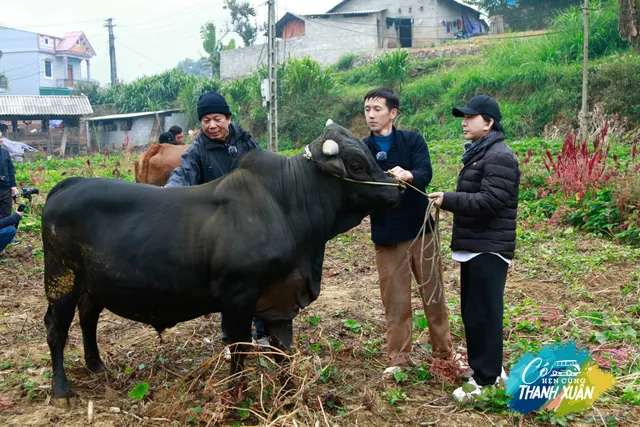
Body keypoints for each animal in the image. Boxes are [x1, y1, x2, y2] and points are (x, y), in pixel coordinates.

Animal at [43, 122, 404, 400]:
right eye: (356, 164)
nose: (397, 189)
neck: (285, 205)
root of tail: (68, 184)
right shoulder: (237, 298)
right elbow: (241, 349)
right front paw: (236, 396)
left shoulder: (280, 300)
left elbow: (282, 350)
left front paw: (288, 393)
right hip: (61, 281)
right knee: (56, 327)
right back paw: (62, 389)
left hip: (93, 284)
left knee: (88, 316)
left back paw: (96, 365)